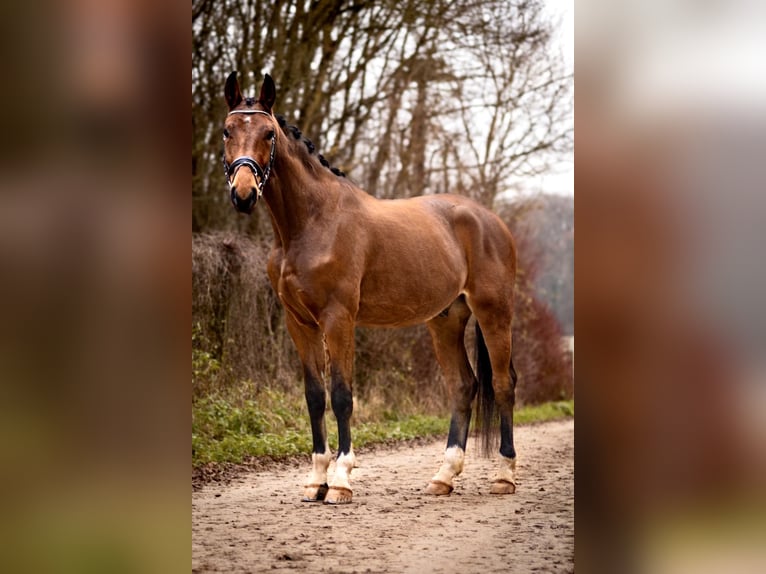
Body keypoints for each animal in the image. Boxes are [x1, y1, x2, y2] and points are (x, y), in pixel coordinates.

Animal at [224, 72, 520, 504]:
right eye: (227, 131)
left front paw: (340, 481)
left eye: (268, 133)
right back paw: (443, 477)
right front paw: (315, 480)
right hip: (446, 320)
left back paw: (504, 476)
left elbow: (342, 395)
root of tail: (490, 219)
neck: (312, 222)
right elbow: (315, 397)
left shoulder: (339, 319)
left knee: (502, 384)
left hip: (493, 312)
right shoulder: (299, 323)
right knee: (463, 387)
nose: (243, 194)